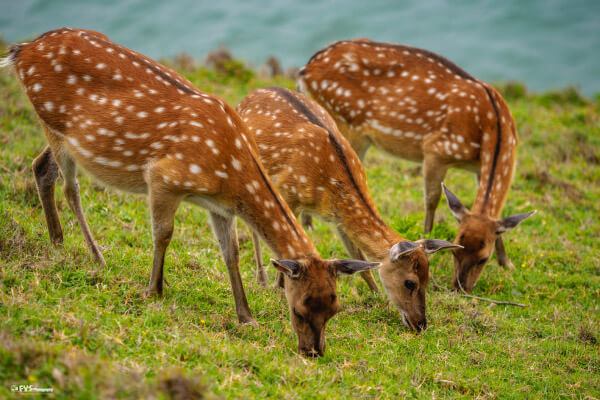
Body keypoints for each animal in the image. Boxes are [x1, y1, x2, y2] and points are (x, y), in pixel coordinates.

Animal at [2, 27, 378, 356]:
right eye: (299, 309)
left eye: (334, 309)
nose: (313, 351)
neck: (232, 171)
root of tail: (22, 50)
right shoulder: (163, 178)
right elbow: (163, 234)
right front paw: (153, 290)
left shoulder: (220, 205)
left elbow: (231, 253)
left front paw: (246, 317)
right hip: (54, 123)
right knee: (71, 187)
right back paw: (95, 256)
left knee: (41, 167)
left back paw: (57, 242)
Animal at [236, 86, 460, 330]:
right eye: (410, 282)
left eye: (428, 279)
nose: (420, 324)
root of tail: (251, 94)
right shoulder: (288, 192)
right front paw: (279, 291)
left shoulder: (338, 219)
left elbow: (357, 255)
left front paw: (378, 297)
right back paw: (262, 280)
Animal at [296, 39, 536, 290]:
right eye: (455, 251)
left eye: (483, 258)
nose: (459, 287)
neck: (490, 131)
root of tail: (305, 70)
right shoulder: (436, 149)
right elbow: (431, 200)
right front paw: (427, 240)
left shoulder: (479, 169)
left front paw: (506, 263)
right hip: (346, 124)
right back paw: (310, 226)